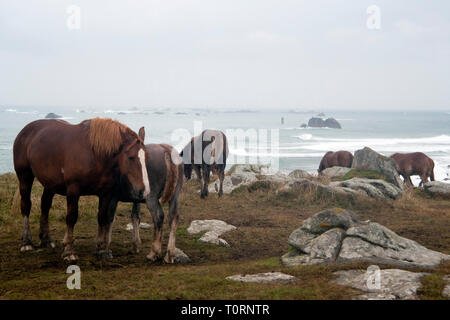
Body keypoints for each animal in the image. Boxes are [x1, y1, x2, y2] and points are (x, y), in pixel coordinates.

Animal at [11, 118, 149, 262]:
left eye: (146, 157)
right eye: (131, 157)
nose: (143, 191)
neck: (94, 154)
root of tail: (26, 130)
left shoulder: (105, 193)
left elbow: (102, 218)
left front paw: (101, 249)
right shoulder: (73, 190)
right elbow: (71, 218)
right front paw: (69, 250)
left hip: (50, 183)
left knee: (45, 206)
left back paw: (46, 239)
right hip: (25, 176)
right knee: (26, 205)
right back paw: (26, 242)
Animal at [119, 129, 185, 264]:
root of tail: (167, 150)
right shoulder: (137, 198)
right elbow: (135, 216)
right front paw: (136, 245)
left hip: (152, 197)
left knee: (159, 217)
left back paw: (154, 252)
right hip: (175, 195)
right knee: (173, 217)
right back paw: (169, 254)